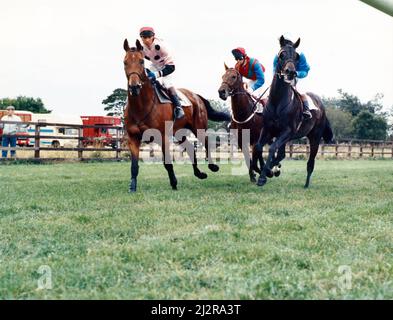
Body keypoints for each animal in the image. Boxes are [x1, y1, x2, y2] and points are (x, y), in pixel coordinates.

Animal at [121, 38, 228, 191]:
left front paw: (174, 183)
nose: (134, 87)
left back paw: (213, 166)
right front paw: (132, 187)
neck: (141, 107)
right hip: (179, 132)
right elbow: (134, 165)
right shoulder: (133, 137)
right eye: (125, 62)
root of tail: (196, 96)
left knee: (207, 142)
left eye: (141, 61)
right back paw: (199, 173)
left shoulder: (162, 137)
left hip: (198, 127)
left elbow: (167, 163)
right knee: (191, 148)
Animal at [256, 36, 332, 189]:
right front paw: (266, 171)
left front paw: (263, 176)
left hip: (314, 137)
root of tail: (321, 106)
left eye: (297, 56)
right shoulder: (268, 129)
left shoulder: (287, 131)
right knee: (282, 154)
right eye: (281, 54)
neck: (277, 101)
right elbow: (259, 147)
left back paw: (306, 184)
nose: (290, 72)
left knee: (310, 162)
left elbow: (272, 148)